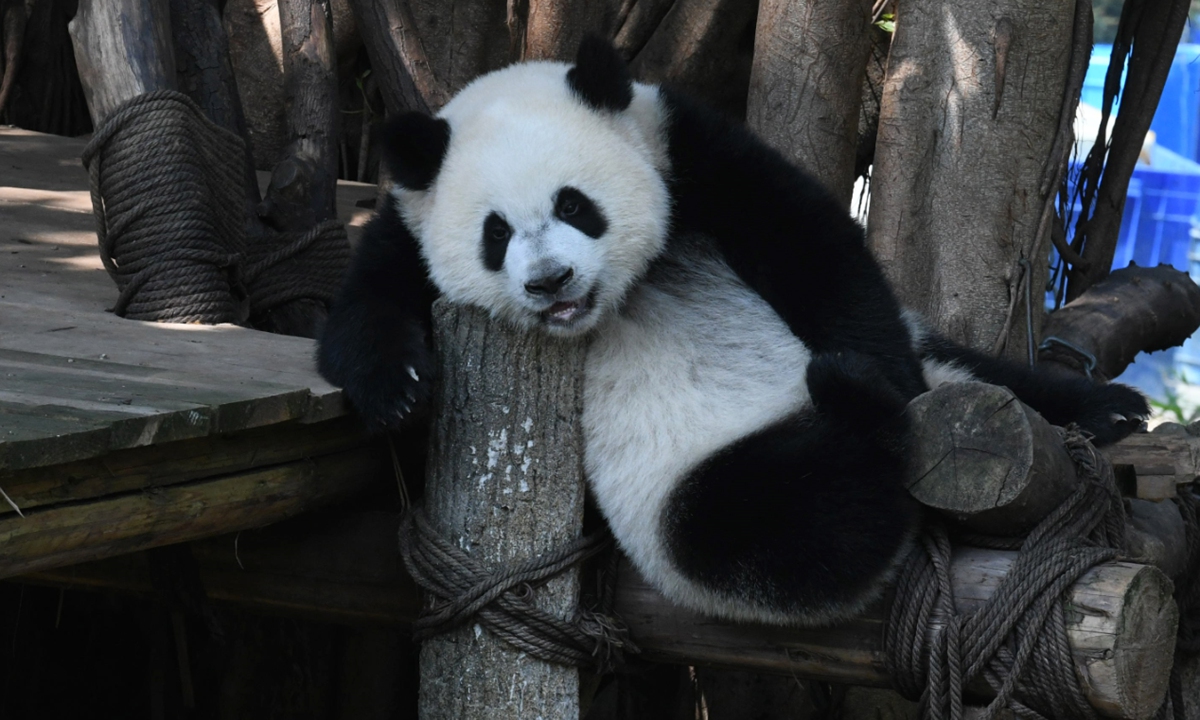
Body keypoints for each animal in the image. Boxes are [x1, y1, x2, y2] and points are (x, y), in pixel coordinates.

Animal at [318, 37, 1150, 626]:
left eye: (575, 204)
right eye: (495, 234)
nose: (550, 280)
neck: (624, 293)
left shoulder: (689, 152)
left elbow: (816, 251)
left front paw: (881, 364)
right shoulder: (405, 230)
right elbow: (363, 317)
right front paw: (398, 390)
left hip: (958, 380)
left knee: (980, 376)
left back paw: (1104, 411)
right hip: (689, 500)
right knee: (786, 525)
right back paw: (853, 409)